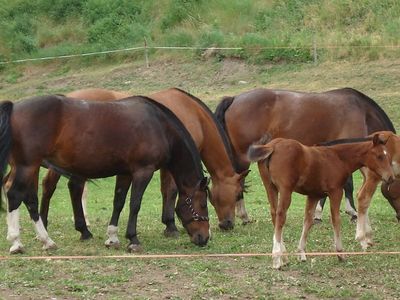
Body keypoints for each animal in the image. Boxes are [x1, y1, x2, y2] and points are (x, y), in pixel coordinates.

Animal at [0, 94, 212, 253]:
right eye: (203, 204)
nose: (204, 238)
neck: (159, 126)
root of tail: (15, 107)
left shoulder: (125, 173)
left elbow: (118, 202)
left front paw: (112, 237)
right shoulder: (143, 171)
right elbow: (135, 204)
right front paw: (133, 239)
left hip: (28, 167)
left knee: (29, 199)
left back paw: (46, 240)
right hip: (27, 166)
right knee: (15, 195)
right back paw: (17, 242)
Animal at [214, 86, 396, 225]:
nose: (398, 216)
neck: (362, 111)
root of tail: (234, 99)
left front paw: (318, 213)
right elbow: (348, 183)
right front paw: (352, 212)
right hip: (243, 157)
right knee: (239, 179)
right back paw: (244, 216)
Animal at [247, 134, 394, 270]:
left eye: (387, 156)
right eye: (380, 156)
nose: (391, 178)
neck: (338, 158)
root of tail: (273, 146)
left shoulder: (314, 195)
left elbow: (308, 221)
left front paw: (301, 253)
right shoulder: (336, 192)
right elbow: (336, 220)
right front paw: (340, 253)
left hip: (269, 187)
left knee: (274, 214)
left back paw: (284, 257)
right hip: (285, 189)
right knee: (281, 216)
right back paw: (277, 258)